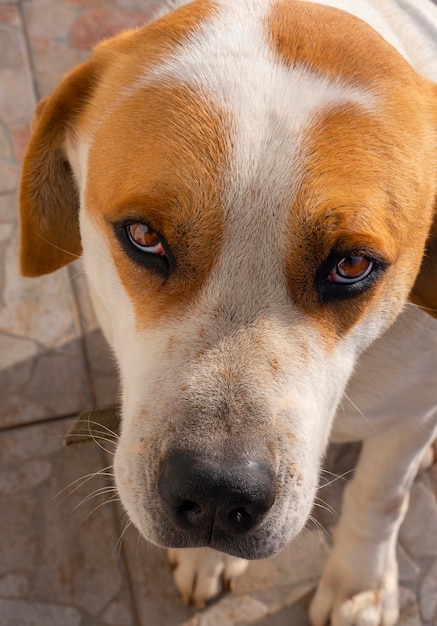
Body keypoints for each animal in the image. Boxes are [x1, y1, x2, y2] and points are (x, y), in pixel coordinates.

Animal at [17, 0, 436, 620]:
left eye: (352, 265)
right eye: (144, 235)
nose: (216, 492)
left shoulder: (410, 414)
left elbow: (380, 497)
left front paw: (359, 586)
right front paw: (206, 560)